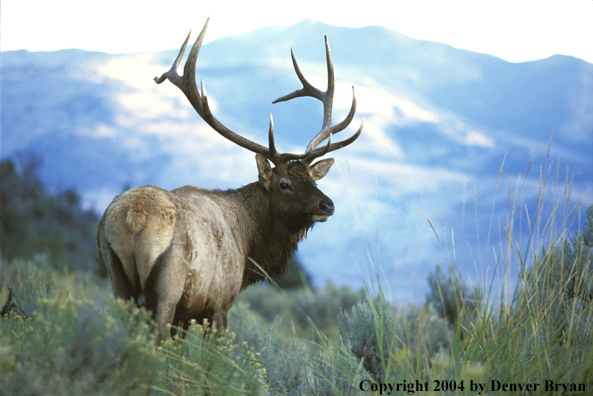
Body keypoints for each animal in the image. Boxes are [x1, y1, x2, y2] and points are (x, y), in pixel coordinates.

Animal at [96, 18, 364, 344]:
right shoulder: (219, 302)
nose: (327, 205)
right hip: (167, 286)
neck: (250, 247)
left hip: (117, 279)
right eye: (284, 185)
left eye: (313, 179)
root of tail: (134, 218)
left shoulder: (186, 313)